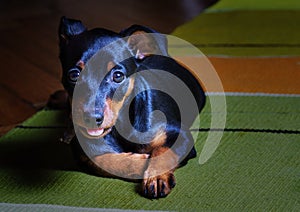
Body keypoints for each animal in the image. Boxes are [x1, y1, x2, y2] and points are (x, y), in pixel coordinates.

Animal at [57, 16, 205, 199]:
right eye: (74, 75)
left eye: (118, 76)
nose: (91, 119)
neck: (121, 125)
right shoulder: (82, 151)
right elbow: (102, 159)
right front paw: (140, 162)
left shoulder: (180, 134)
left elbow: (163, 151)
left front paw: (156, 177)